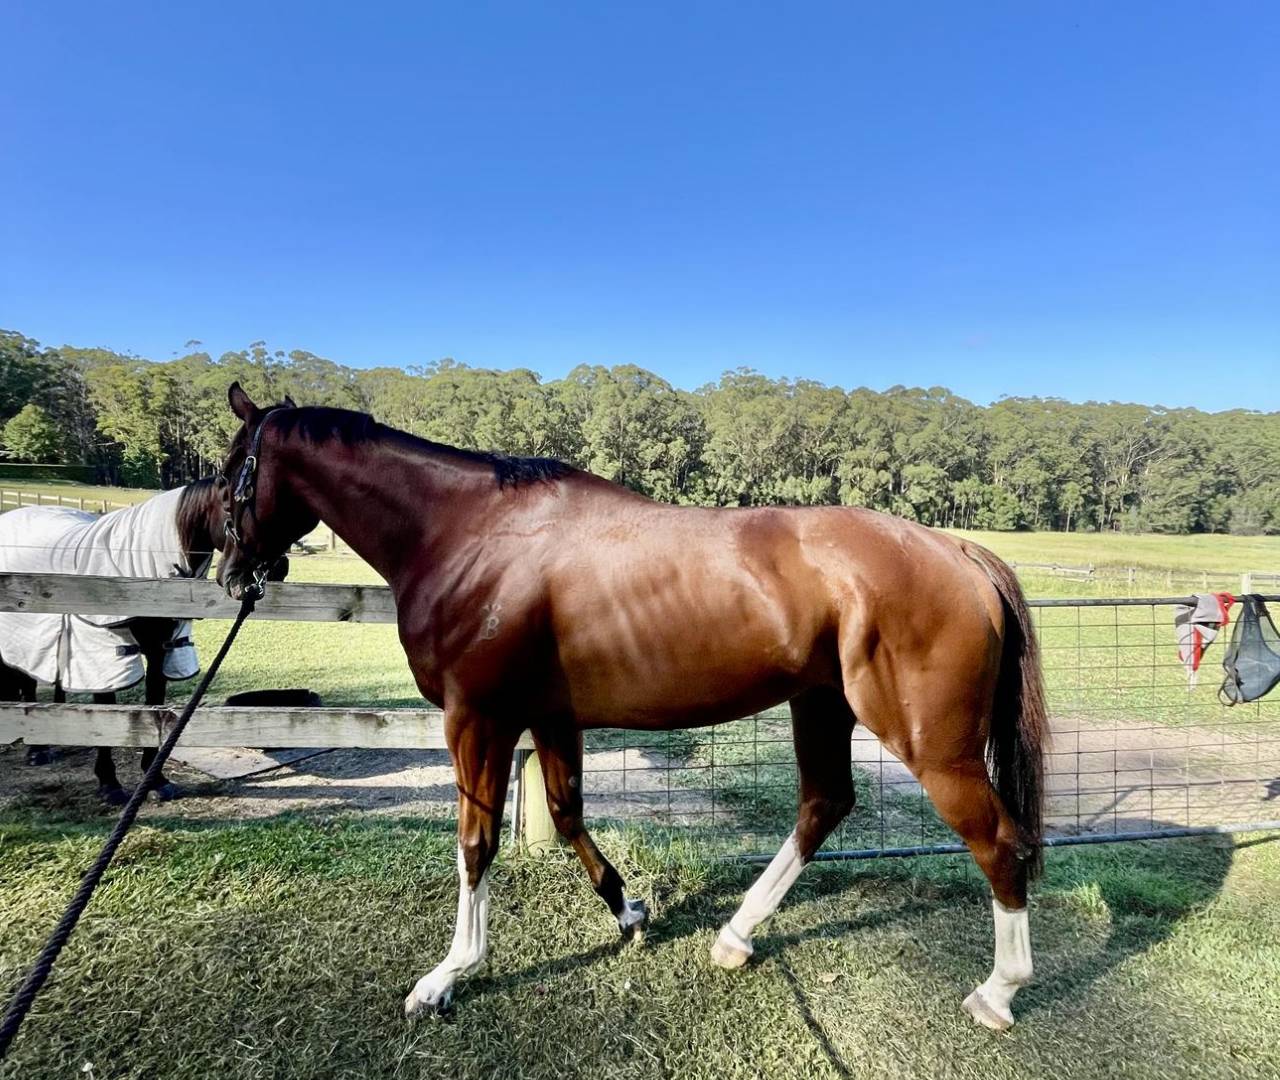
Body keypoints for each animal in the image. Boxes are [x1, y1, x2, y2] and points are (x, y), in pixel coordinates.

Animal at [0, 479, 281, 803]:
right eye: (233, 510)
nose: (279, 568)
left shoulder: (161, 649)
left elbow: (153, 706)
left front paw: (156, 779)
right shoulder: (104, 650)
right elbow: (106, 712)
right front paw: (109, 784)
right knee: (27, 681)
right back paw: (37, 750)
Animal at [215, 383, 1047, 1032]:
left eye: (229, 474)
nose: (228, 572)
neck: (468, 533)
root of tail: (958, 552)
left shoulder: (477, 718)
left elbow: (475, 843)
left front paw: (447, 975)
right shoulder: (550, 717)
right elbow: (566, 810)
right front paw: (628, 912)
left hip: (929, 744)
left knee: (998, 842)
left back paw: (998, 993)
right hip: (821, 706)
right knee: (825, 803)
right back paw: (735, 937)